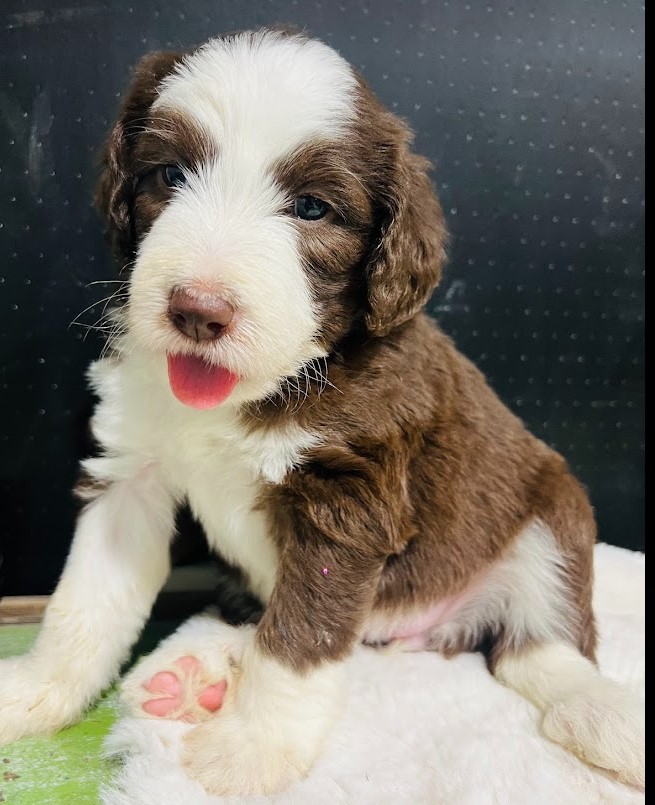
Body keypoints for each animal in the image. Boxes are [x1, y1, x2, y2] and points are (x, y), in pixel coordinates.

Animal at [0, 28, 644, 796]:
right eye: (168, 175)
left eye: (312, 208)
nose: (197, 310)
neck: (261, 384)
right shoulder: (131, 469)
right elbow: (84, 602)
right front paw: (35, 691)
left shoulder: (345, 501)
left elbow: (302, 635)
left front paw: (251, 749)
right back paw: (194, 668)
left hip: (552, 511)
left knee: (536, 648)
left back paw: (603, 714)